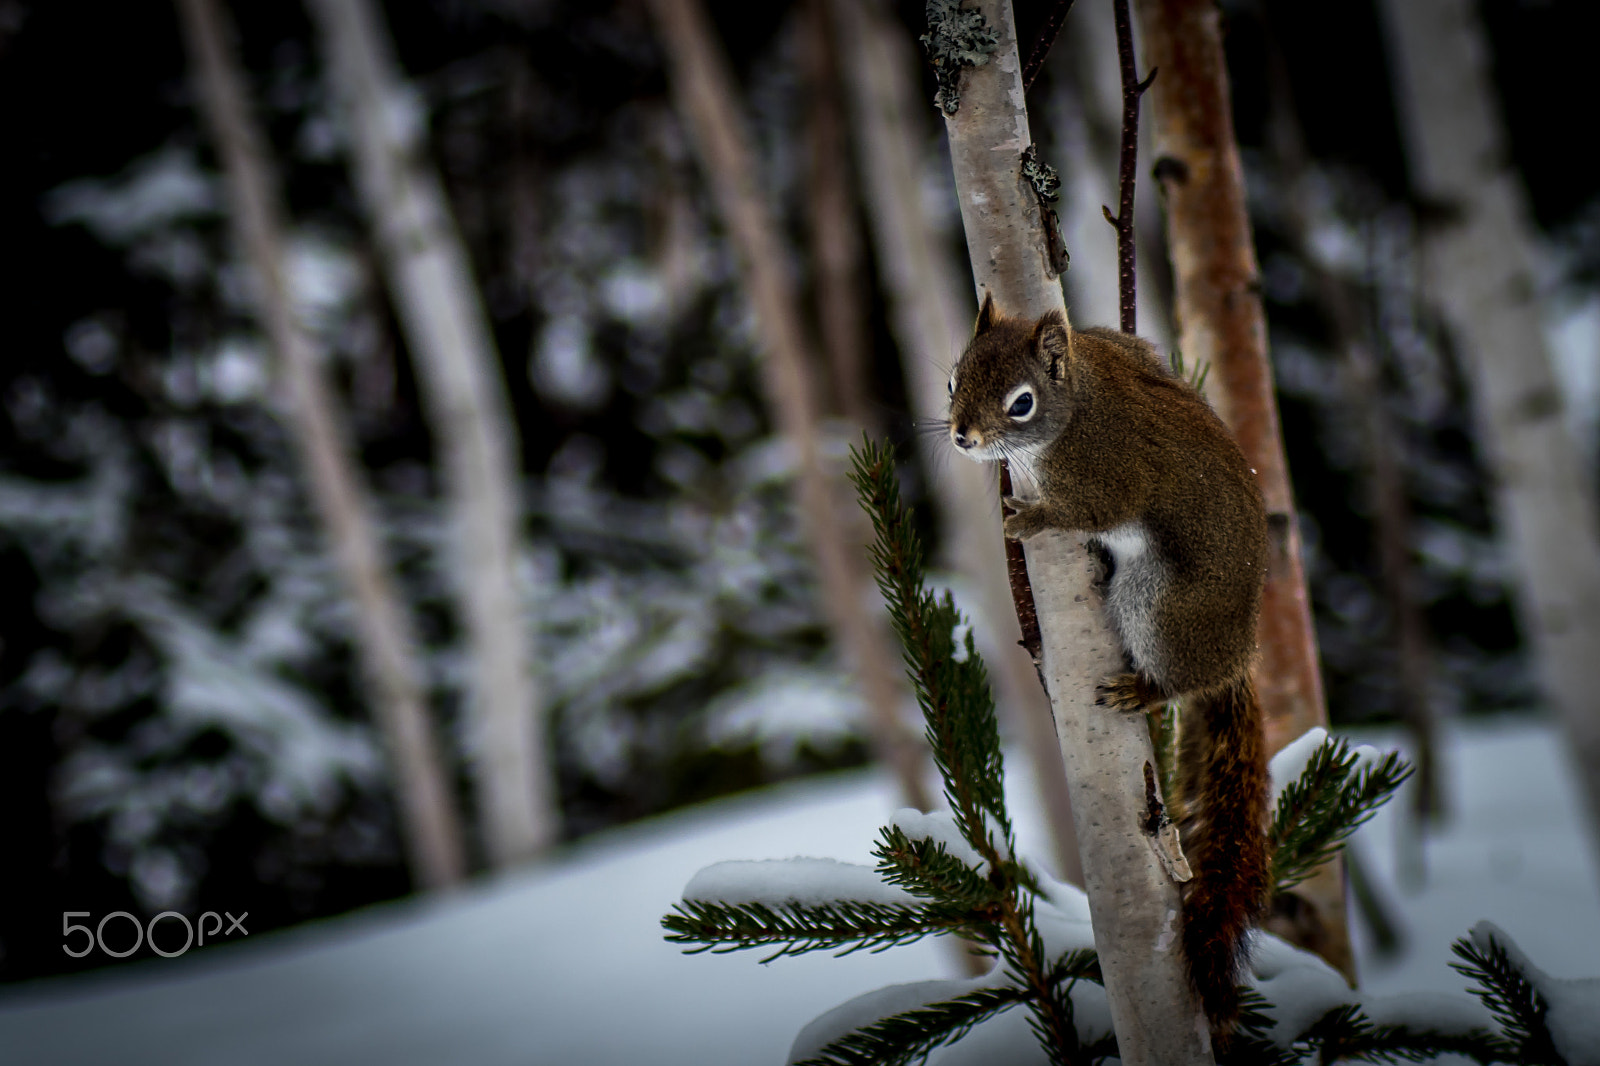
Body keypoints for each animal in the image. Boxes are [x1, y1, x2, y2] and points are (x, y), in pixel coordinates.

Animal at [947, 293, 1271, 1038]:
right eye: (952, 378)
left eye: (1021, 403)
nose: (961, 438)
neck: (1079, 405)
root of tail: (1235, 654)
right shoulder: (1113, 346)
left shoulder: (1112, 473)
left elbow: (1091, 509)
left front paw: (1029, 519)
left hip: (1158, 604)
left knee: (1178, 675)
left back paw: (1143, 691)